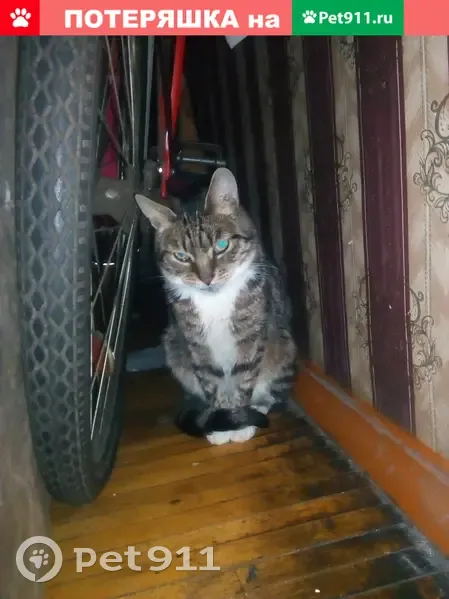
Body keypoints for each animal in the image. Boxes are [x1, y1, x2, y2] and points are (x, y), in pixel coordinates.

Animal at [135, 167, 298, 445]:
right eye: (181, 256)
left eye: (221, 246)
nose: (206, 278)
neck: (215, 302)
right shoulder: (196, 342)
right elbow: (212, 380)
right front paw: (221, 423)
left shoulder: (250, 336)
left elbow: (244, 376)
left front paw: (240, 422)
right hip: (173, 344)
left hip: (284, 346)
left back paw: (259, 406)